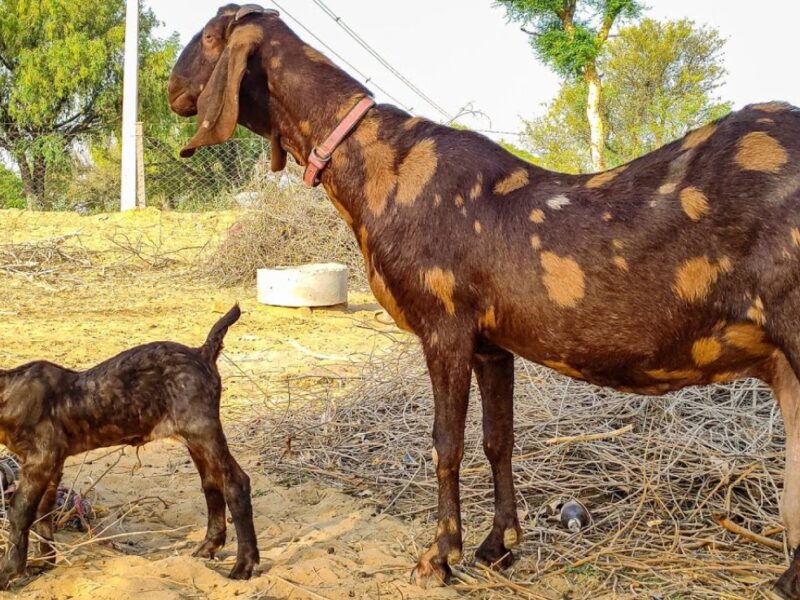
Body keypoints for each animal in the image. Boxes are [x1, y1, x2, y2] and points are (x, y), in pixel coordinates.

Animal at [167, 4, 800, 596]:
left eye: (209, 37)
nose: (172, 89)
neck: (380, 167)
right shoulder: (493, 343)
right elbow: (499, 440)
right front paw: (499, 545)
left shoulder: (444, 324)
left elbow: (447, 443)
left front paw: (438, 556)